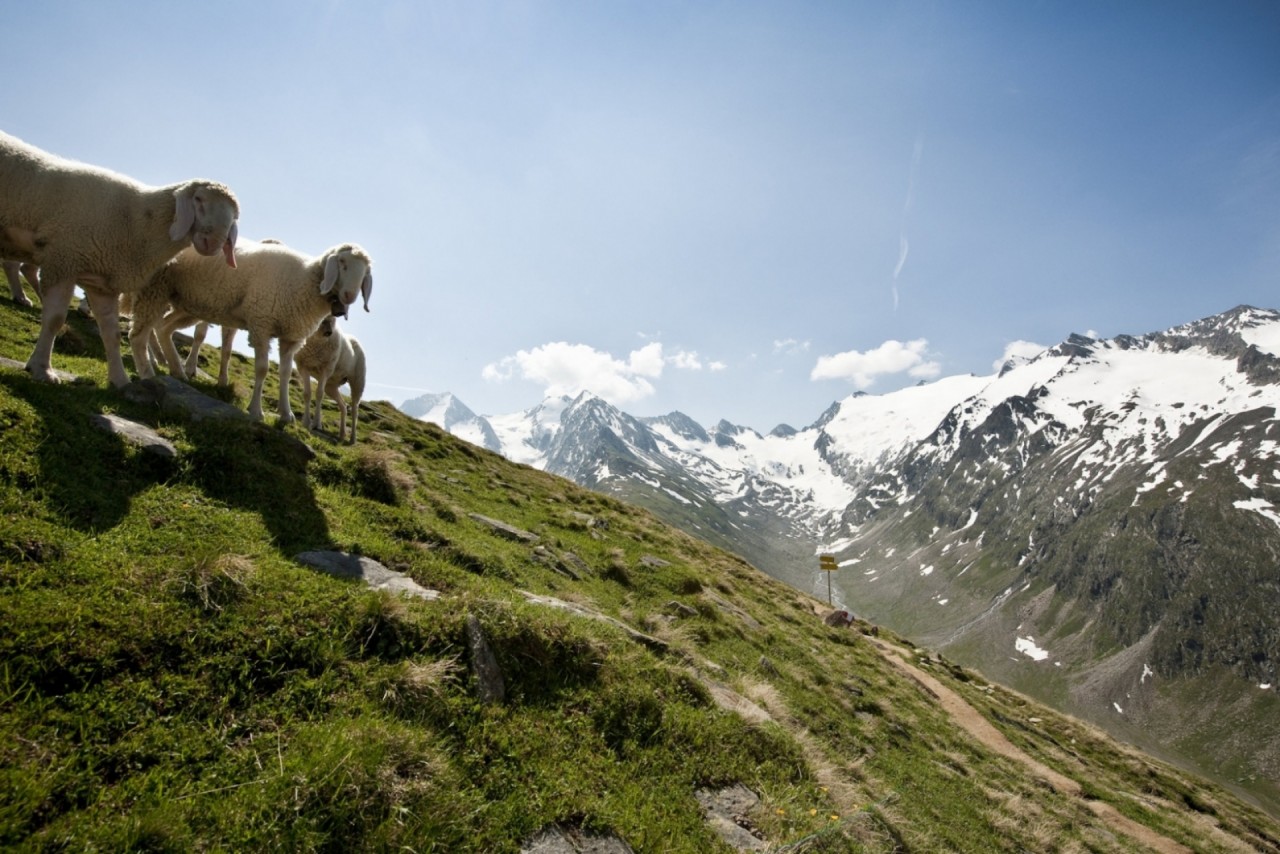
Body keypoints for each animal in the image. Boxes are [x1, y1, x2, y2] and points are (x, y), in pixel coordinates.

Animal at [0, 130, 240, 386]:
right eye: (199, 199)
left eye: (234, 215)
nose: (213, 243)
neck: (138, 220)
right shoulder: (64, 260)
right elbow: (55, 319)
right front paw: (42, 369)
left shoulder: (102, 280)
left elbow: (112, 333)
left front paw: (119, 380)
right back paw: (24, 298)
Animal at [128, 236, 371, 425]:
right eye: (342, 262)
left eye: (365, 271)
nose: (349, 296)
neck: (305, 280)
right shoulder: (261, 324)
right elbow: (262, 369)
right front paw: (256, 411)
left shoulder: (290, 337)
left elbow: (284, 374)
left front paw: (286, 414)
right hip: (157, 287)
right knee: (140, 334)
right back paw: (150, 374)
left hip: (188, 303)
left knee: (163, 328)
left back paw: (177, 371)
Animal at [294, 316, 366, 448]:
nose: (328, 332)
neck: (315, 341)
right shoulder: (302, 367)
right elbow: (307, 394)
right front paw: (306, 422)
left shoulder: (326, 370)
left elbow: (319, 394)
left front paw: (316, 424)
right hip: (331, 385)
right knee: (343, 406)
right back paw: (342, 434)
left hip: (358, 380)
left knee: (355, 409)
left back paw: (352, 439)